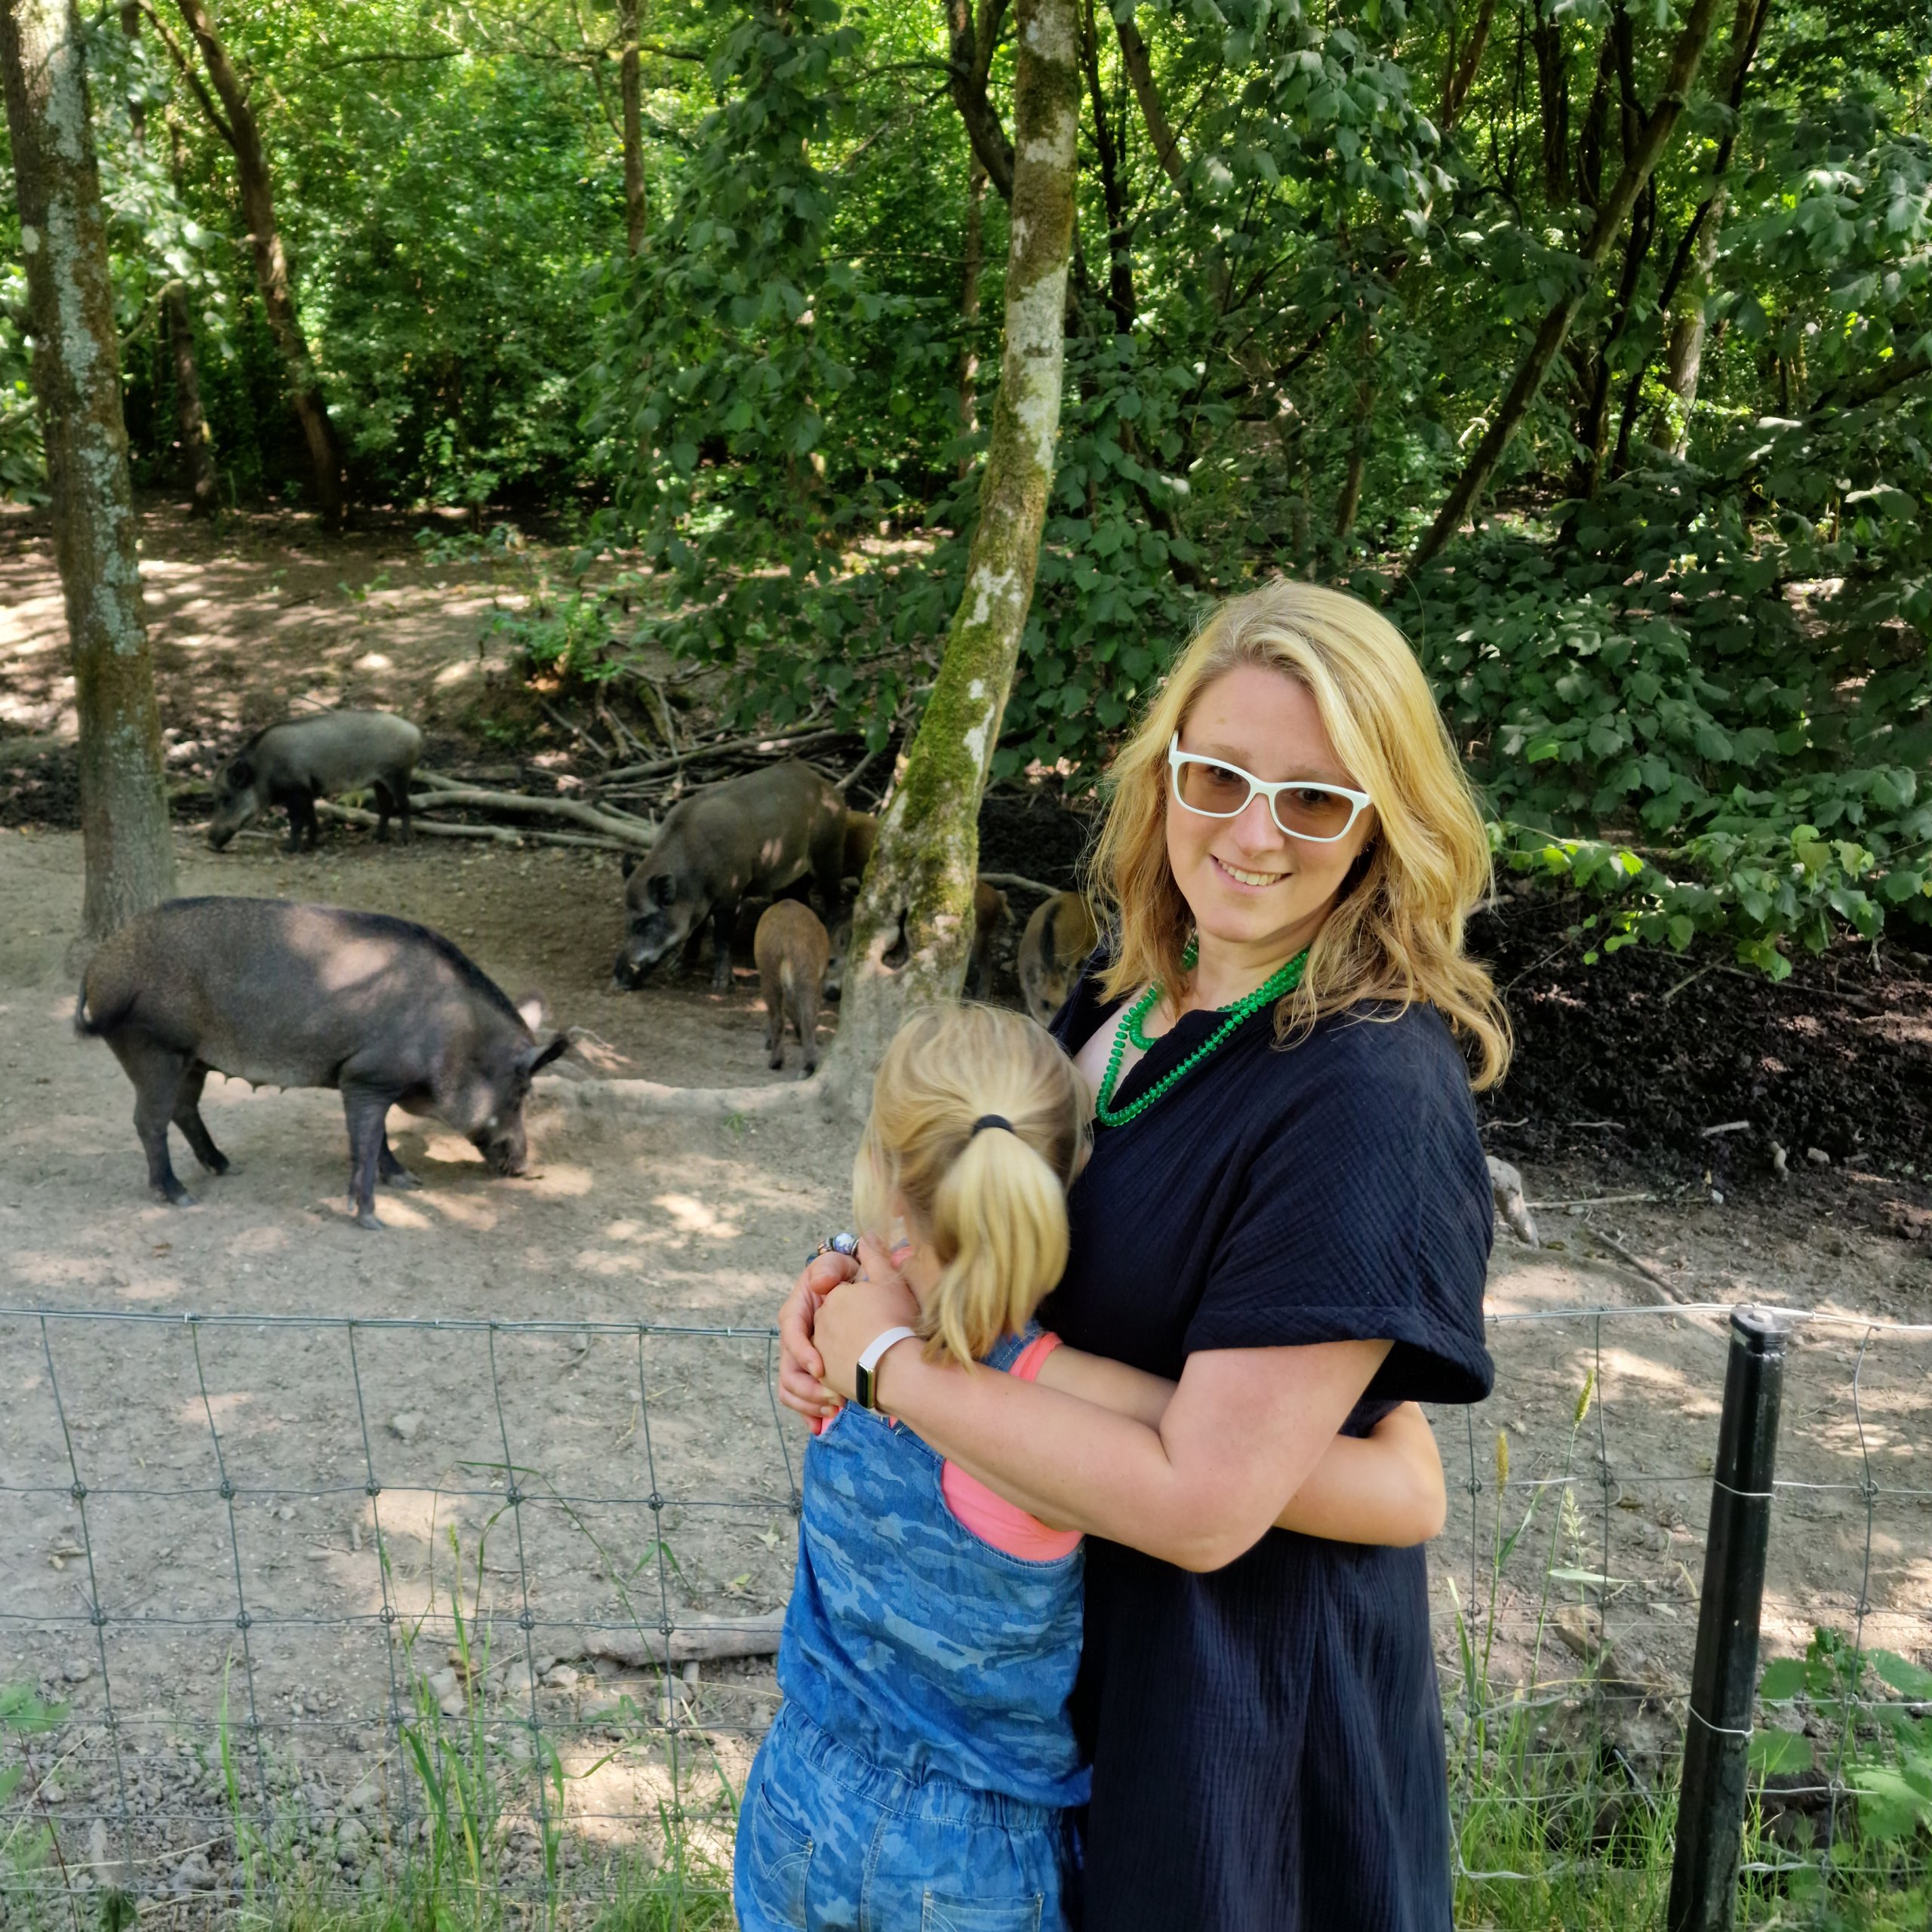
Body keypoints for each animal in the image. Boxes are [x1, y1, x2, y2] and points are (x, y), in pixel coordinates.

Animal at [78, 896, 568, 1229]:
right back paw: (180, 1196)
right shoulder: (365, 1077)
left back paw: (226, 1167)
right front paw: (373, 1220)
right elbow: (366, 1143)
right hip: (152, 1049)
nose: (526, 1166)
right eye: (522, 1091)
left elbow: (378, 1138)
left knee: (184, 1109)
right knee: (149, 1121)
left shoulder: (366, 1081)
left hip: (192, 1059)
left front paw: (409, 1181)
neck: (453, 1036)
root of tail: (100, 964)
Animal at [209, 711, 421, 854]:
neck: (263, 770)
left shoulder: (297, 791)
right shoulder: (308, 791)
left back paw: (405, 841)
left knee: (405, 804)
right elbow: (311, 817)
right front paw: (311, 844)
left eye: (226, 798)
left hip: (398, 775)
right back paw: (377, 839)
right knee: (386, 806)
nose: (209, 843)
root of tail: (415, 732)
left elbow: (296, 820)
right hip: (380, 781)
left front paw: (289, 849)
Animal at [610, 757, 838, 996]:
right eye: (627, 920)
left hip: (829, 852)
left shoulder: (731, 893)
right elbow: (696, 932)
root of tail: (826, 785)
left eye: (646, 923)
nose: (617, 981)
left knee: (834, 897)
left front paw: (720, 985)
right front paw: (678, 969)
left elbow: (722, 938)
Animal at [753, 900, 830, 1081]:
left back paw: (777, 1061)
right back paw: (806, 1066)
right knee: (806, 1016)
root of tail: (787, 940)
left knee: (779, 1015)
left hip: (770, 970)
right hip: (805, 970)